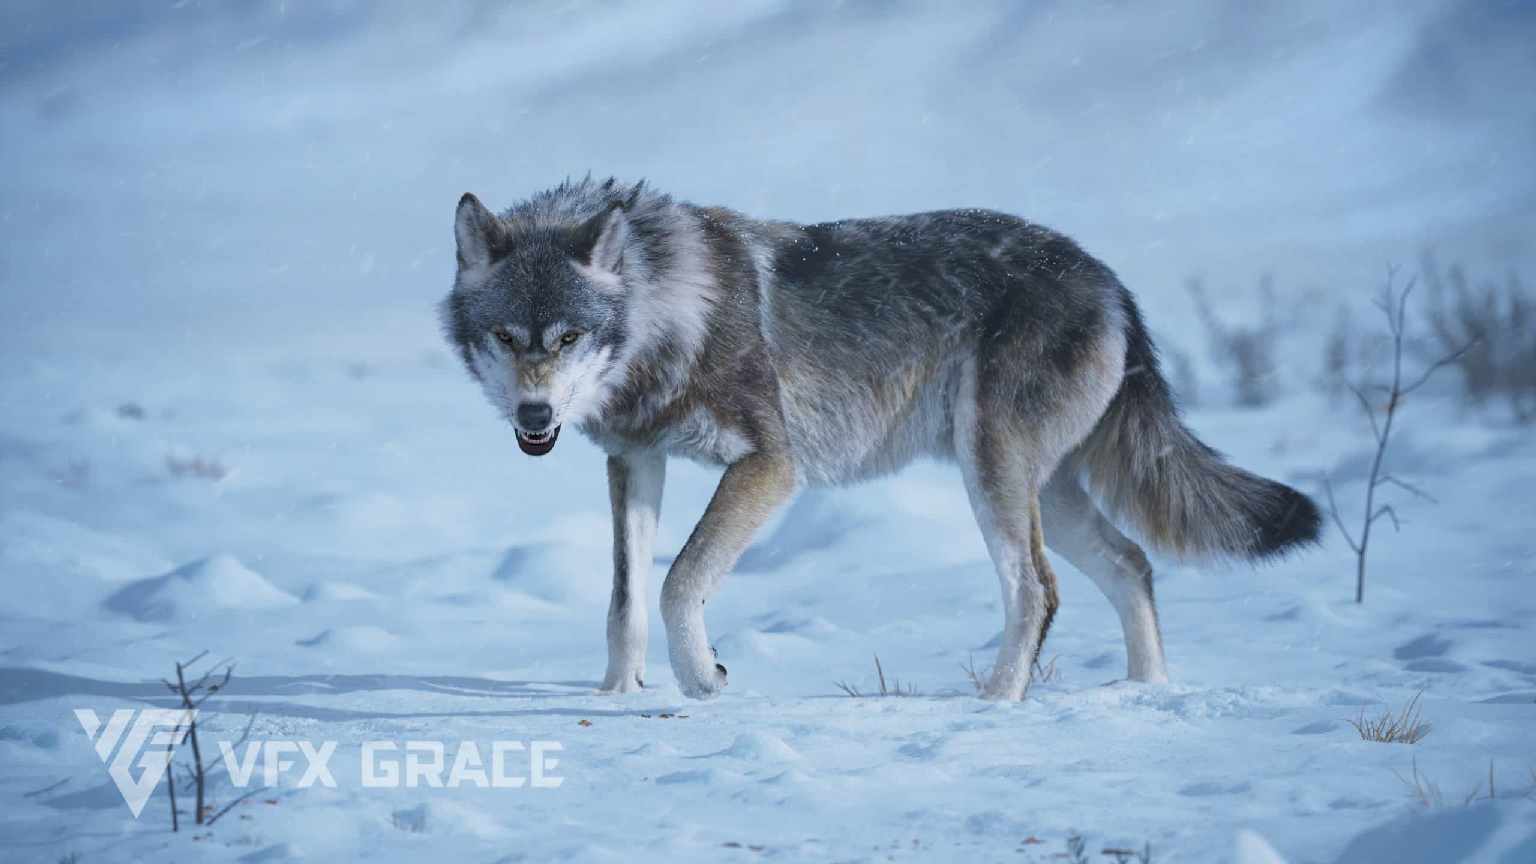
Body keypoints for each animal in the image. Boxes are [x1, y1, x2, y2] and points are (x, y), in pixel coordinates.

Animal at [440, 177, 1321, 700]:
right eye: (508, 338)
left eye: (568, 339)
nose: (534, 419)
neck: (669, 317)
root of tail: (1110, 282)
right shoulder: (635, 459)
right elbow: (624, 599)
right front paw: (615, 700)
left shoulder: (771, 466)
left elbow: (677, 583)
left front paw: (703, 681)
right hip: (1047, 493)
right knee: (1132, 564)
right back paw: (1146, 694)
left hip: (991, 474)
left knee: (1037, 589)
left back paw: (994, 704)